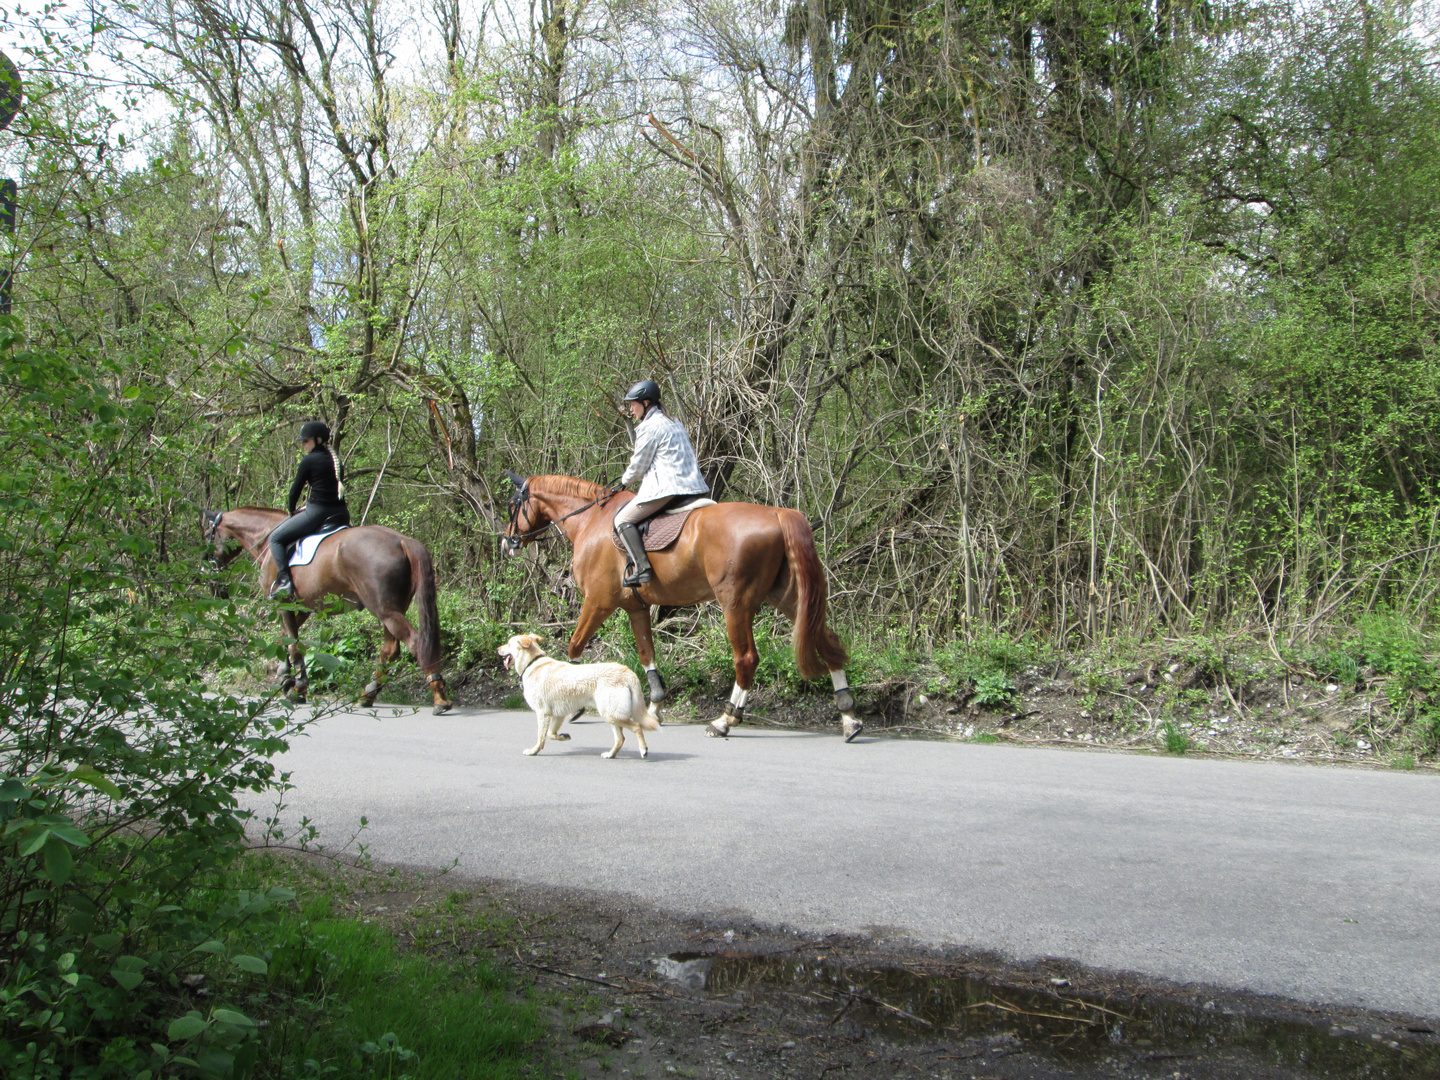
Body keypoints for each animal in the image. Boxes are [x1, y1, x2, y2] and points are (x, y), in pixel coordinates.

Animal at [205, 509, 452, 720]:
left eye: (208, 534)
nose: (210, 572)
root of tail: (401, 540)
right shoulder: (302, 609)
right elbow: (282, 639)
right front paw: (285, 678)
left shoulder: (284, 604)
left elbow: (292, 643)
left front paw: (298, 687)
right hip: (391, 610)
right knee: (390, 650)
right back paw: (369, 694)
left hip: (384, 610)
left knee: (416, 642)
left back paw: (439, 696)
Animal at [498, 633, 659, 760]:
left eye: (508, 643)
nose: (497, 649)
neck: (532, 663)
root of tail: (627, 671)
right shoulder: (558, 714)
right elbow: (550, 734)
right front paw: (563, 737)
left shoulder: (542, 713)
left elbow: (541, 736)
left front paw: (533, 751)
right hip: (611, 716)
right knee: (620, 739)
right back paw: (610, 754)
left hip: (611, 715)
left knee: (637, 726)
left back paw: (643, 750)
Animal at [501, 475, 858, 743]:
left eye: (512, 504)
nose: (507, 543)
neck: (590, 520)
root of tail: (776, 513)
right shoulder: (636, 609)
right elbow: (647, 654)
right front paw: (655, 708)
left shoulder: (598, 602)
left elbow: (575, 645)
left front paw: (574, 705)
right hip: (788, 597)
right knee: (827, 642)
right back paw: (849, 717)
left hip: (735, 603)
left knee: (746, 658)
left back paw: (725, 720)